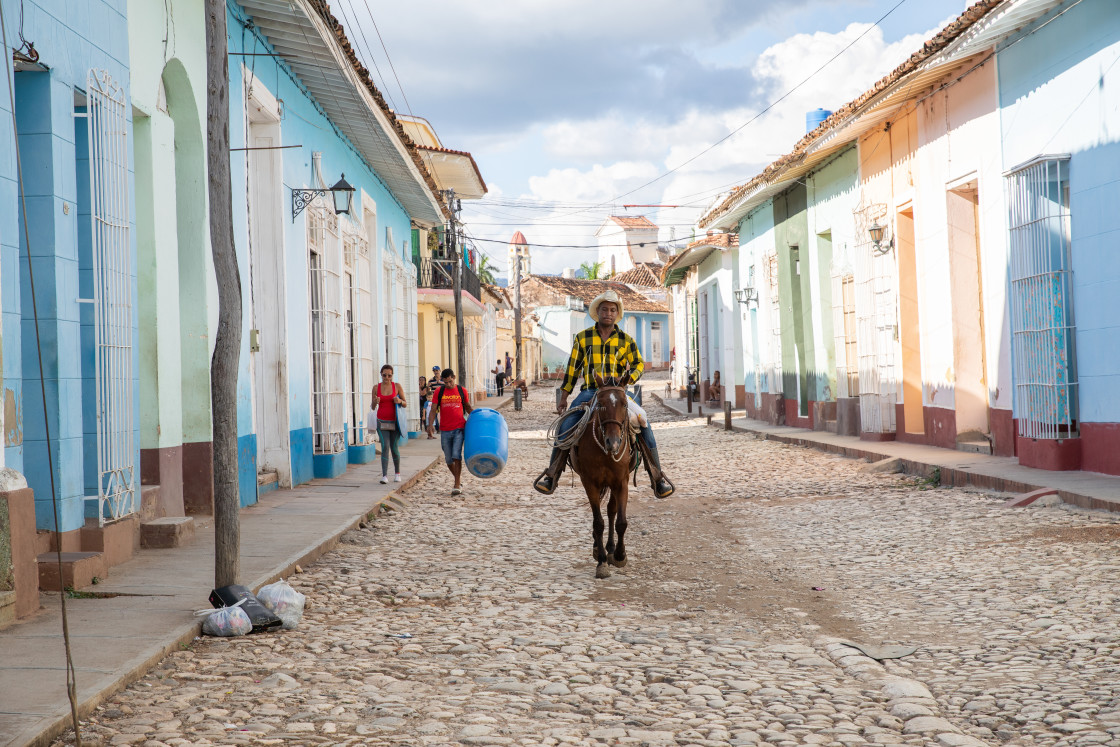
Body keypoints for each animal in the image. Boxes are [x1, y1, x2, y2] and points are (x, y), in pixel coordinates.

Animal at [573, 371, 636, 577]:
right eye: (600, 404)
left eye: (624, 404)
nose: (613, 443)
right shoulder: (590, 483)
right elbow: (598, 522)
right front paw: (601, 562)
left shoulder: (621, 482)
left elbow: (621, 521)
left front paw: (620, 555)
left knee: (611, 511)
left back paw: (611, 549)